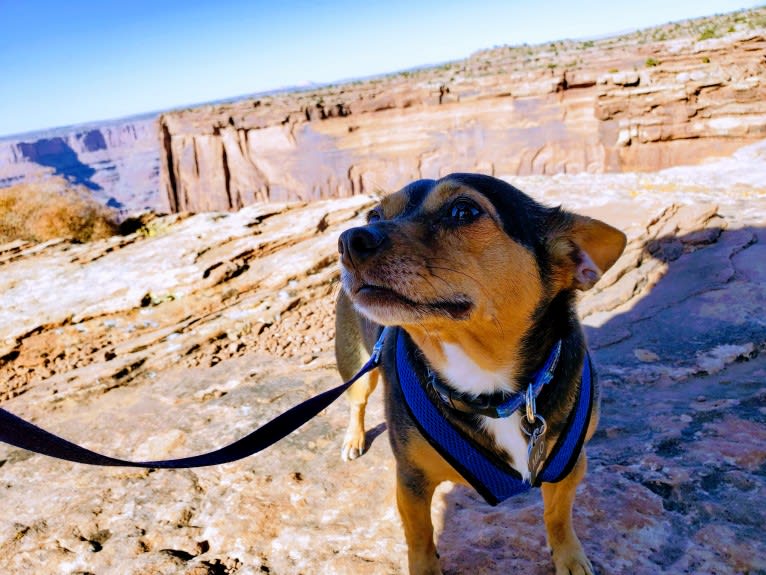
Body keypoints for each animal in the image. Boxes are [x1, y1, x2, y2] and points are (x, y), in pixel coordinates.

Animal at [340, 176, 628, 575]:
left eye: (464, 211)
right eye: (374, 215)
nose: (350, 239)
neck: (490, 387)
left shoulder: (571, 466)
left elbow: (558, 516)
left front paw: (569, 558)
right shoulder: (411, 481)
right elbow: (420, 538)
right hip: (359, 365)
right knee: (356, 402)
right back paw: (353, 439)